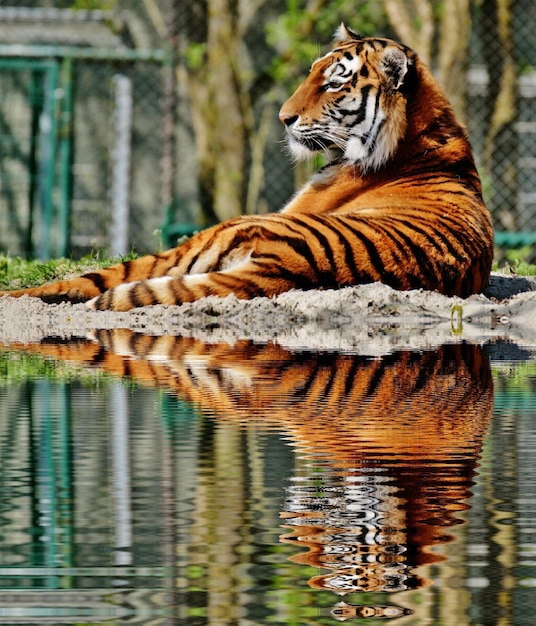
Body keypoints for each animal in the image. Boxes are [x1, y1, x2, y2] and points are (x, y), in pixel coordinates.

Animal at [1, 24, 494, 310]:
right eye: (312, 73)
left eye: (334, 83)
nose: (283, 117)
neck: (417, 135)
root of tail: (296, 264)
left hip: (218, 233)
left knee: (106, 276)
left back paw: (20, 296)